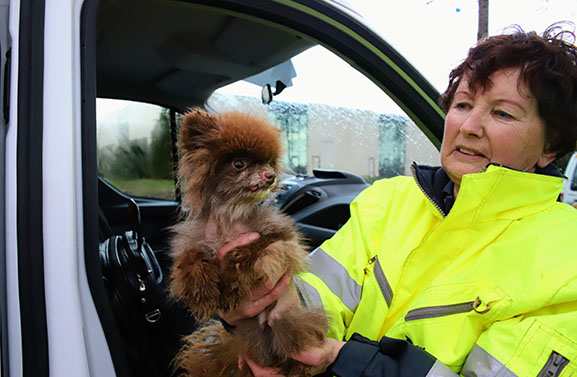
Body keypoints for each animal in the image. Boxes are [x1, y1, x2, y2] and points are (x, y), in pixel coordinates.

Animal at [169, 108, 326, 376]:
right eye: (239, 164)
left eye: (269, 163)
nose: (270, 176)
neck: (229, 218)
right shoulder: (197, 242)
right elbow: (190, 258)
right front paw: (201, 291)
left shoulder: (282, 239)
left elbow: (251, 247)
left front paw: (233, 279)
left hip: (291, 324)